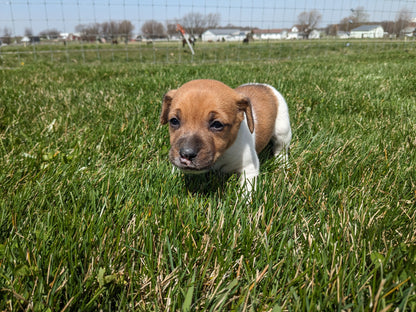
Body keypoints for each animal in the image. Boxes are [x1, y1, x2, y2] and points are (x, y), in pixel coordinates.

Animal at [161, 79, 290, 194]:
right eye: (174, 121)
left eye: (217, 124)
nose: (186, 155)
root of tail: (264, 86)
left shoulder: (249, 167)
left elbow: (247, 191)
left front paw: (245, 204)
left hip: (283, 130)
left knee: (281, 148)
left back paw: (282, 163)